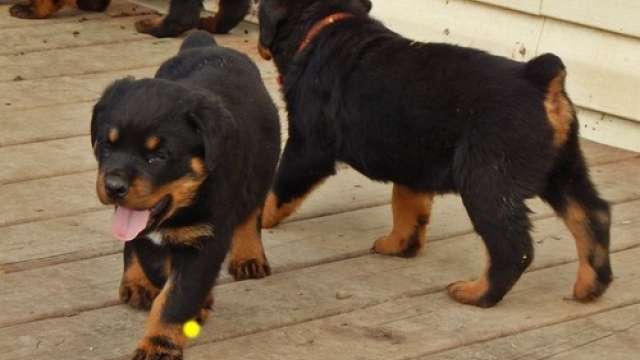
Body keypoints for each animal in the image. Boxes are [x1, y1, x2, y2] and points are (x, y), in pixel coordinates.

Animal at [90, 31, 280, 360]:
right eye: (107, 144)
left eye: (158, 156)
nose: (113, 186)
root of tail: (205, 44)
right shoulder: (148, 234)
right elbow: (157, 271)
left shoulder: (204, 240)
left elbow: (176, 298)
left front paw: (158, 345)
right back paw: (135, 282)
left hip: (262, 169)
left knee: (250, 212)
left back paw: (249, 256)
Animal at [258, 0, 612, 308]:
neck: (327, 26)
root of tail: (539, 77)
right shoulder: (412, 160)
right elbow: (407, 207)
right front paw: (399, 245)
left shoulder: (307, 146)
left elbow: (279, 187)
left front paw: (261, 218)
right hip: (562, 168)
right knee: (592, 215)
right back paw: (590, 286)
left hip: (488, 179)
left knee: (513, 247)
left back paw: (477, 293)